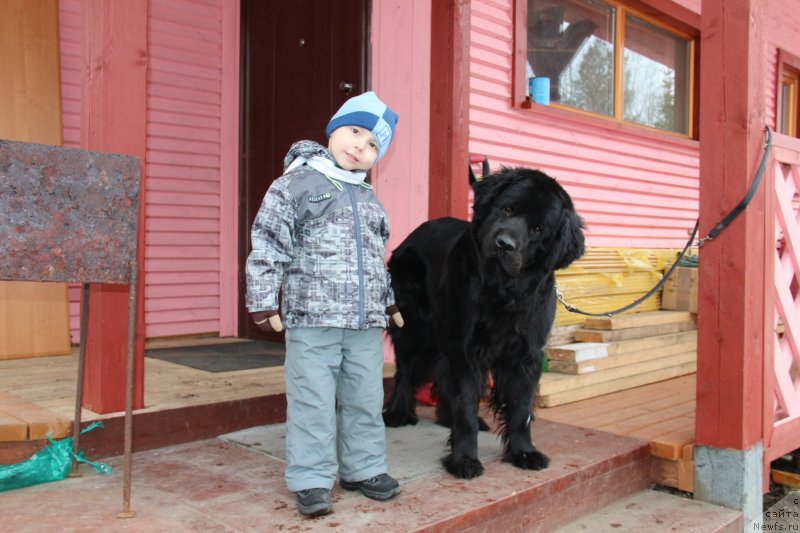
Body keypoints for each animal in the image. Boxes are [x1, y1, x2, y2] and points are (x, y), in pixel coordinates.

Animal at [384, 166, 584, 478]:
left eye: (538, 229)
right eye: (507, 208)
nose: (504, 244)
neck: (501, 289)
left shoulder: (525, 354)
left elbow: (521, 410)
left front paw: (524, 452)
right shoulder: (466, 349)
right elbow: (465, 406)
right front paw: (464, 459)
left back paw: (446, 417)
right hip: (413, 326)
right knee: (406, 371)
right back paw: (398, 413)